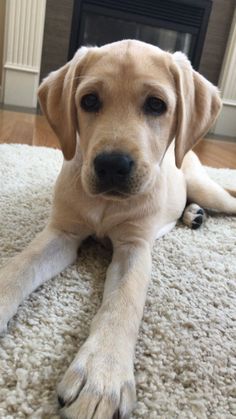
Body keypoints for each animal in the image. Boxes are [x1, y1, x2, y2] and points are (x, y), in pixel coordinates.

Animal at [0, 40, 236, 419]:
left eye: (156, 104)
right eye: (89, 101)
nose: (112, 165)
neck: (106, 206)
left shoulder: (134, 247)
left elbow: (124, 302)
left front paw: (101, 376)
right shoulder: (62, 233)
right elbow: (19, 266)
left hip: (206, 186)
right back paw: (193, 214)